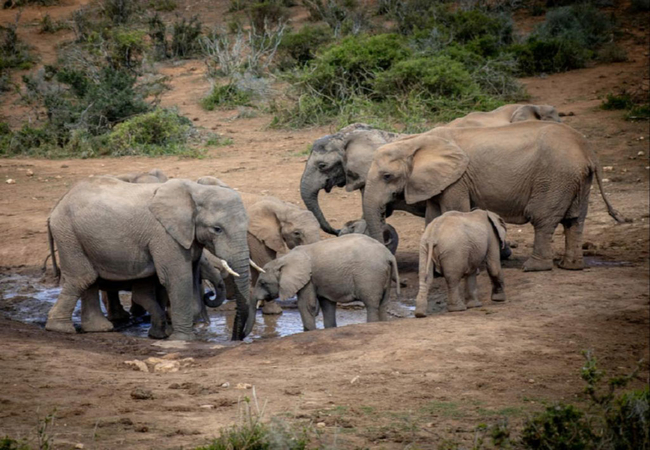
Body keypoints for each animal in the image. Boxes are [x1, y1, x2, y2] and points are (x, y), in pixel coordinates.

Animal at [46, 176, 255, 341]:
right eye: (217, 229)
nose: (236, 338)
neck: (195, 190)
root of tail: (57, 205)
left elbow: (190, 275)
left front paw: (163, 335)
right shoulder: (165, 235)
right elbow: (178, 278)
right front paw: (182, 340)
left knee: (90, 279)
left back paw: (98, 329)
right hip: (68, 234)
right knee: (83, 278)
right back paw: (60, 328)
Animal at [253, 234, 400, 331]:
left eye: (263, 283)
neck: (283, 259)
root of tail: (389, 255)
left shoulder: (308, 278)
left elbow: (306, 305)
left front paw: (309, 332)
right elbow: (327, 304)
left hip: (370, 275)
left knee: (371, 304)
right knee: (383, 303)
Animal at [361, 121, 626, 272]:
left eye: (387, 176)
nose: (385, 216)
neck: (414, 141)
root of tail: (588, 149)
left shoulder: (458, 179)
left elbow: (453, 211)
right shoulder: (438, 181)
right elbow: (433, 216)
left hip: (555, 177)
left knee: (543, 219)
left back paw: (534, 268)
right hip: (576, 179)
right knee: (574, 220)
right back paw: (570, 267)